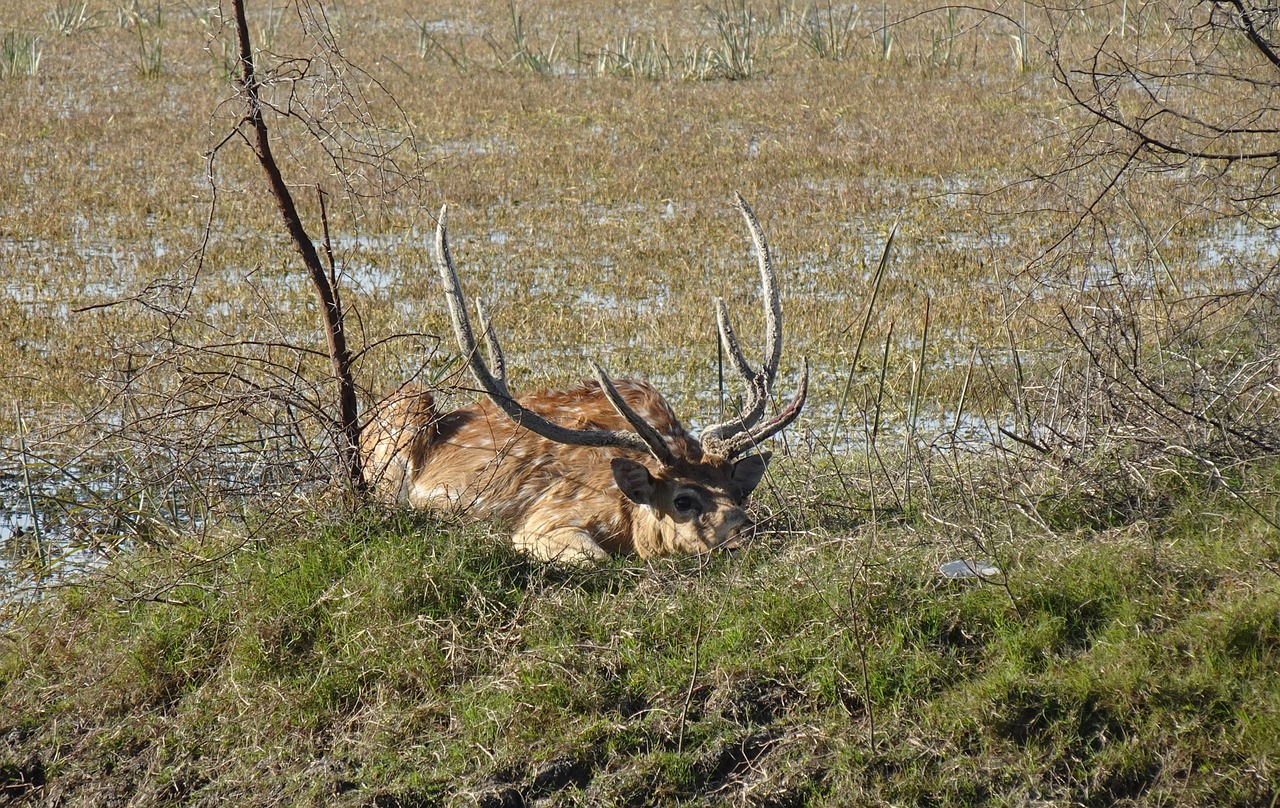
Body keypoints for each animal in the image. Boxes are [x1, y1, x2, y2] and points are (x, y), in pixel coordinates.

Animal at [355, 194, 803, 563]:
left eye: (739, 491)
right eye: (683, 500)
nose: (746, 531)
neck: (625, 516)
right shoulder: (548, 515)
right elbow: (592, 556)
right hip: (408, 408)